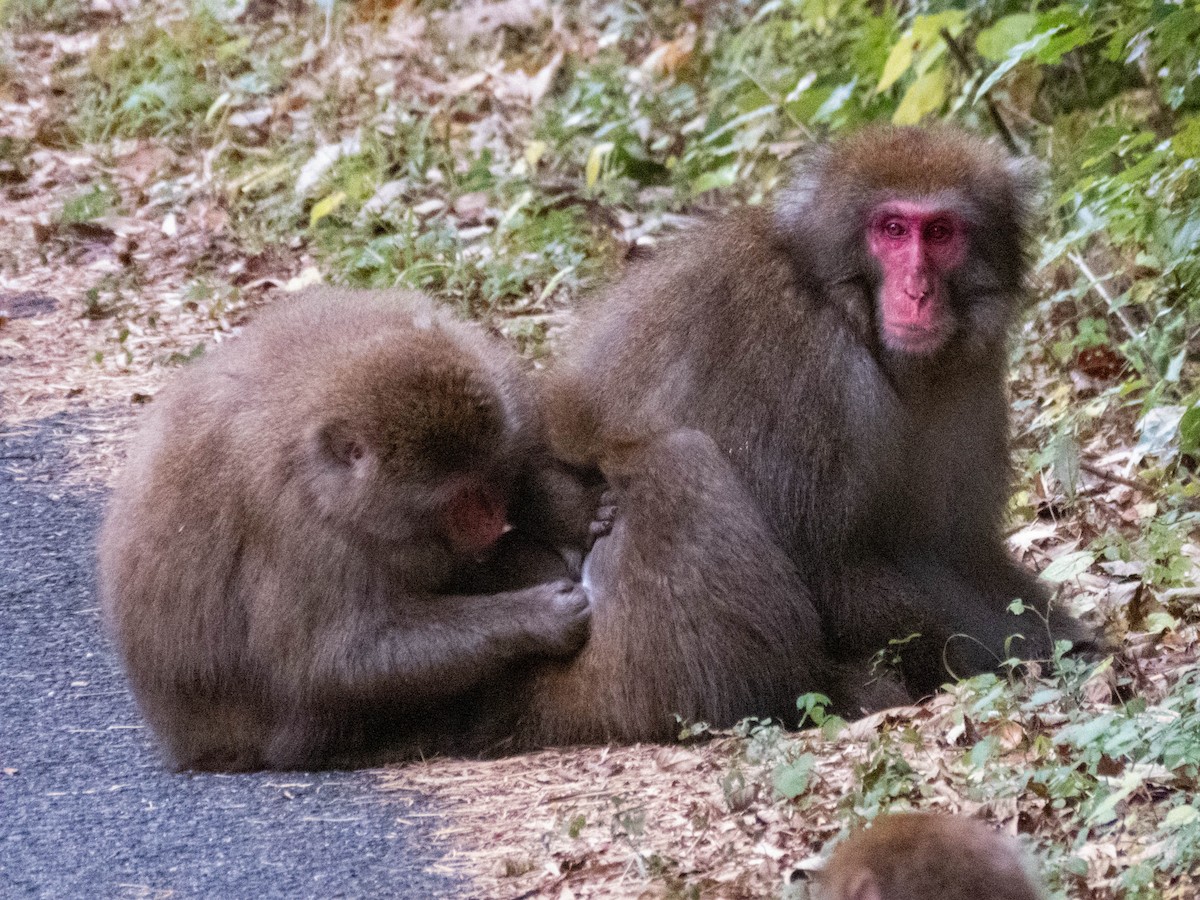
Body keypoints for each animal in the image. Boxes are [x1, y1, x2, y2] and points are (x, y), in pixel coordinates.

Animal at [97, 287, 594, 772]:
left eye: (488, 480)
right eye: (457, 499)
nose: (489, 519)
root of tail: (186, 747)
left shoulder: (499, 390)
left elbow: (527, 451)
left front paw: (571, 513)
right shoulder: (303, 533)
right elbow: (332, 662)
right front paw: (536, 615)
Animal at [544, 124, 1094, 699]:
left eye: (941, 231)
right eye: (893, 230)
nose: (917, 292)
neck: (842, 305)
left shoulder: (971, 376)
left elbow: (950, 548)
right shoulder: (801, 365)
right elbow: (823, 563)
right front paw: (992, 665)